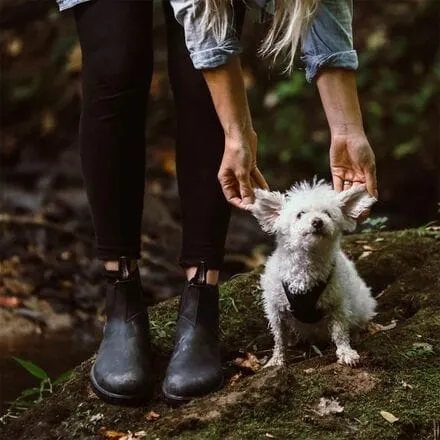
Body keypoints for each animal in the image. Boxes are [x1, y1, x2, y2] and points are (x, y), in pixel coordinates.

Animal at [251, 180, 378, 366]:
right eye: (300, 214)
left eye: (327, 213)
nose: (317, 222)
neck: (306, 268)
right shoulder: (276, 310)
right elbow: (279, 338)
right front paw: (277, 359)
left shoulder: (337, 305)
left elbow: (340, 333)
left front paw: (346, 352)